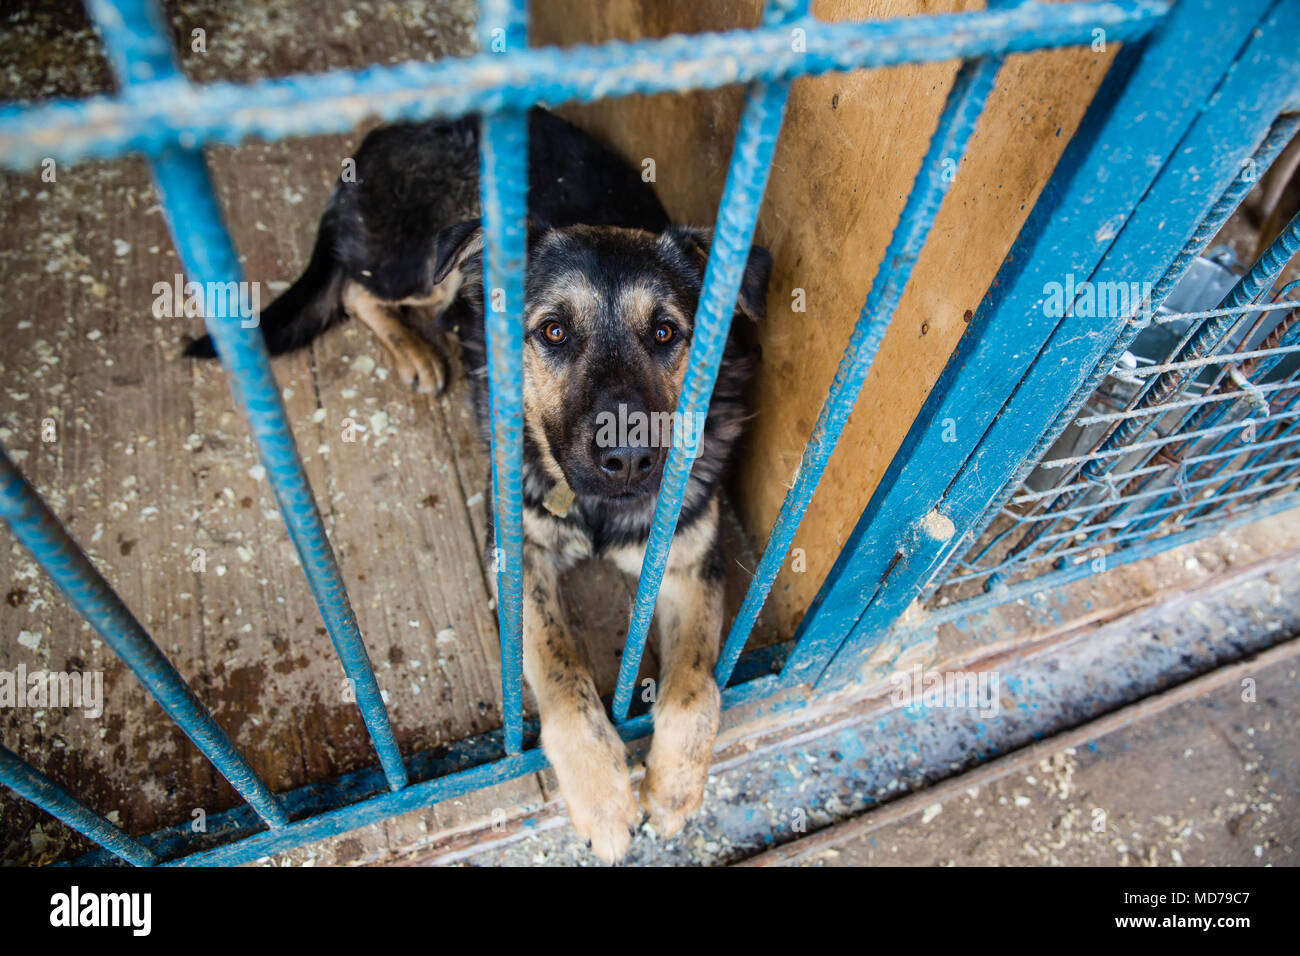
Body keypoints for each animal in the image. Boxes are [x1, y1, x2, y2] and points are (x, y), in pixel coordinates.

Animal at [185, 108, 769, 863]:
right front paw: (603, 796)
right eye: (554, 332)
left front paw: (672, 788)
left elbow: (696, 688)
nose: (631, 459)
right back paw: (415, 351)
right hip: (431, 268)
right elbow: (563, 674)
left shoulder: (690, 559)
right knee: (356, 287)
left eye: (667, 333)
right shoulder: (520, 557)